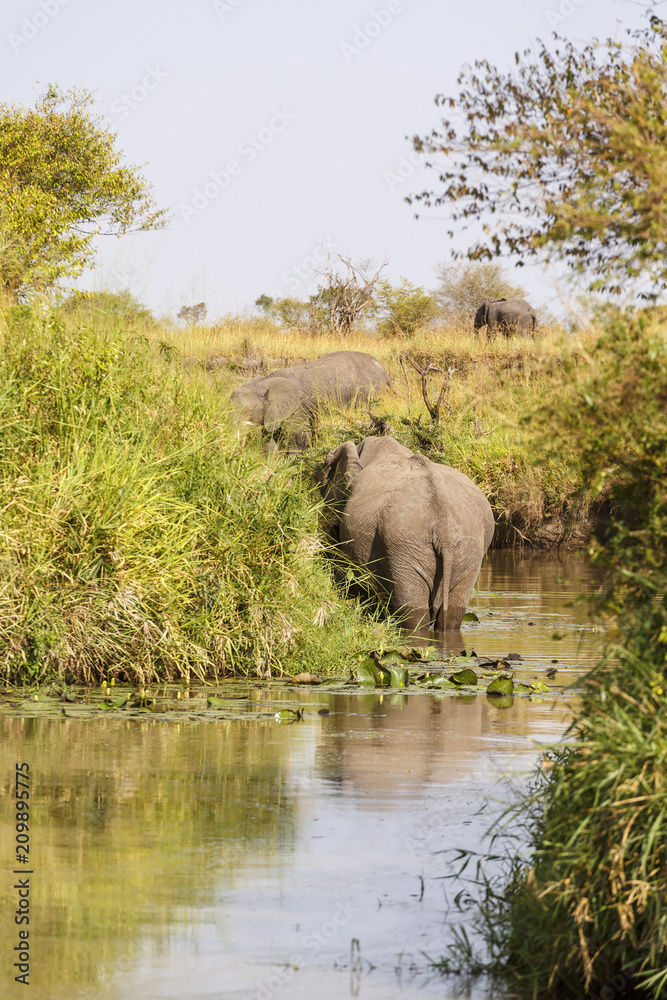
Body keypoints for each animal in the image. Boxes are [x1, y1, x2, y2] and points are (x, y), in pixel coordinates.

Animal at [231, 350, 392, 451]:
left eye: (247, 411)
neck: (263, 382)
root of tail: (383, 370)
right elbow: (270, 440)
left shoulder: (297, 408)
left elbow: (297, 438)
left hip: (370, 392)